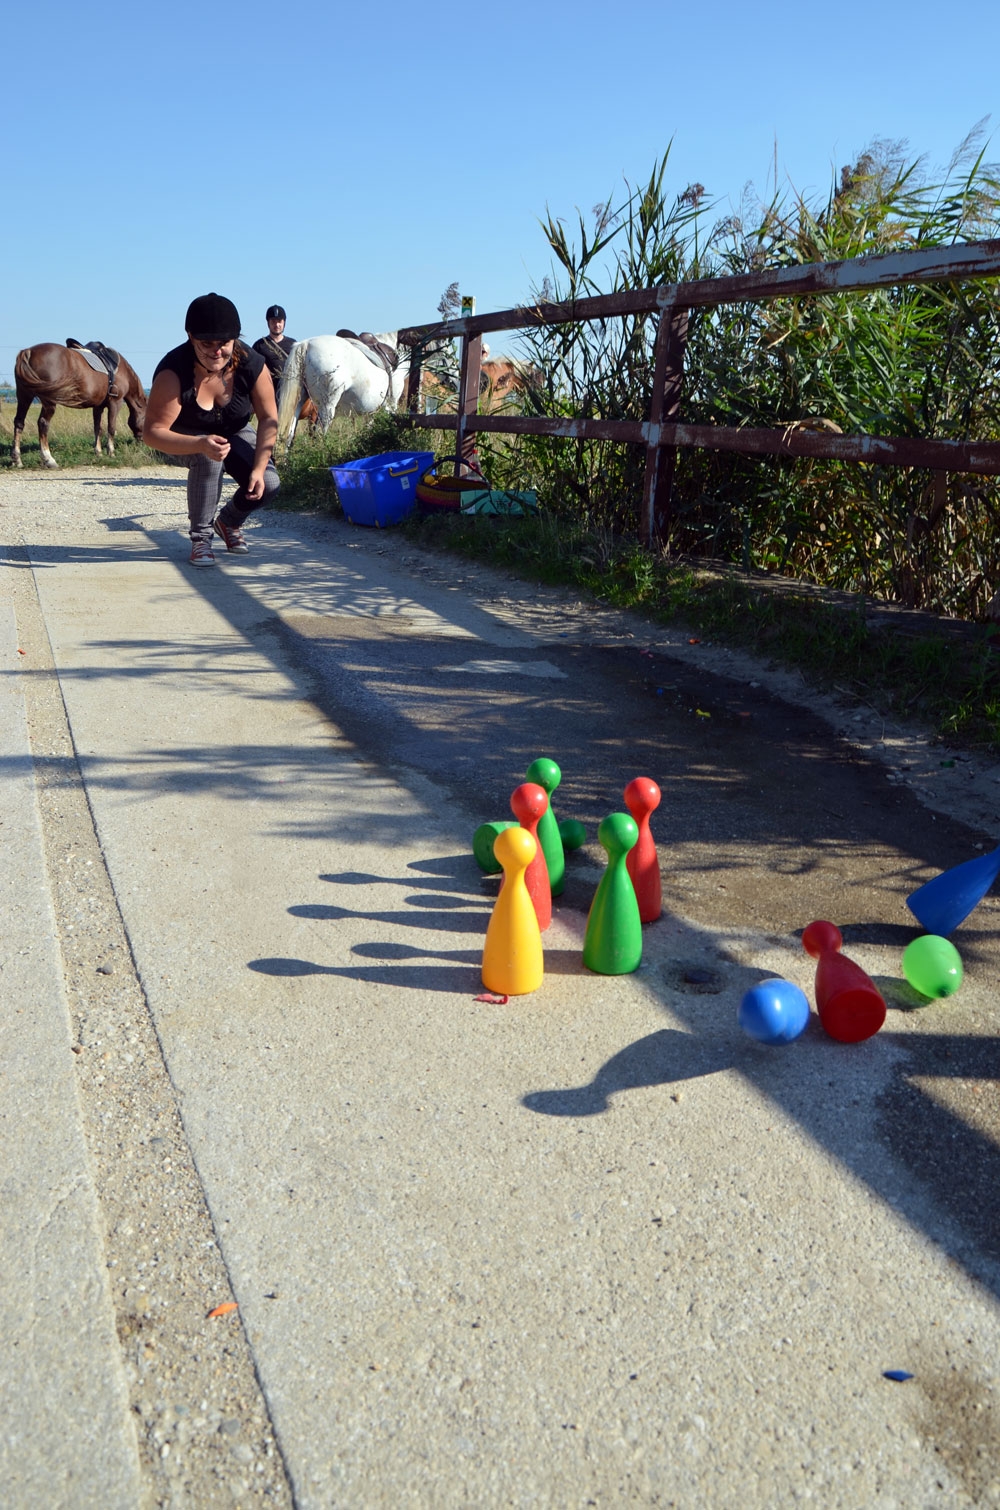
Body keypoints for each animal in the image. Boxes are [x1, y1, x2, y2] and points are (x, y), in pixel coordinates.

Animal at [11, 345, 147, 468]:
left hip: (24, 396)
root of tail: (28, 351)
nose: (142, 441)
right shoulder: (115, 403)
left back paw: (17, 460)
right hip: (47, 400)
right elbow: (111, 428)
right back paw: (49, 459)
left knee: (19, 422)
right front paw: (111, 453)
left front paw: (98, 452)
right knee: (43, 423)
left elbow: (98, 428)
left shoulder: (98, 407)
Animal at [276, 332, 410, 443]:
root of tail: (306, 344)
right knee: (319, 434)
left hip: (297, 403)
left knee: (289, 435)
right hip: (327, 408)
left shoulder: (370, 412)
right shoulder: (390, 405)